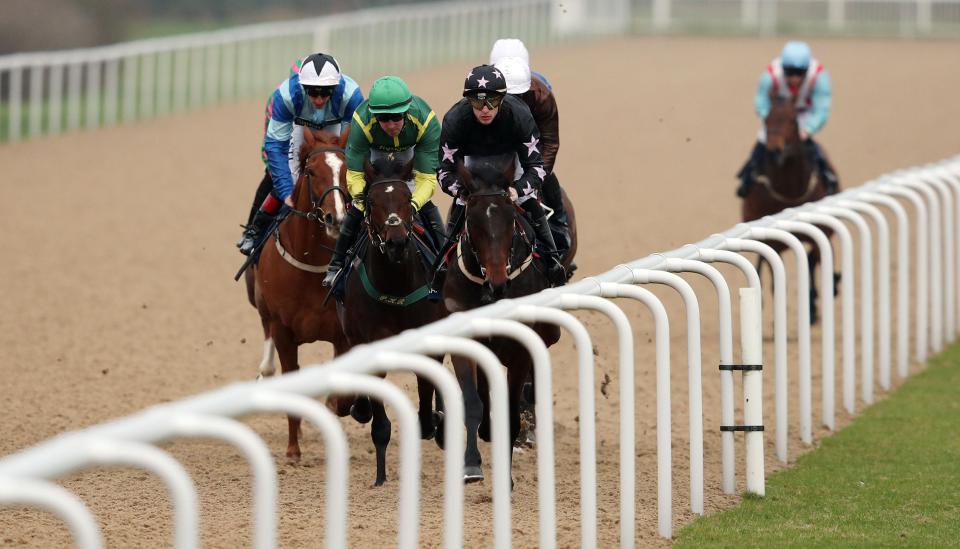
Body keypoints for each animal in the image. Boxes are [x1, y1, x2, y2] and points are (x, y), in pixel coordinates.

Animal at [244, 127, 352, 458]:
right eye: (311, 171)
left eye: (347, 169)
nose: (336, 218)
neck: (311, 262)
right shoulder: (282, 329)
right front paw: (293, 450)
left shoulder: (341, 334)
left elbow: (338, 391)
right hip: (259, 303)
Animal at [336, 154, 448, 484]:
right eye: (372, 201)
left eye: (407, 199)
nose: (397, 241)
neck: (395, 286)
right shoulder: (370, 344)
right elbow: (381, 424)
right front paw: (380, 477)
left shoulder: (428, 343)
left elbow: (426, 402)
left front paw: (434, 422)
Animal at [440, 154, 576, 480]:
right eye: (472, 221)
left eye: (510, 218)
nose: (498, 282)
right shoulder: (466, 340)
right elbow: (474, 401)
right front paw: (471, 464)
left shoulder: (520, 347)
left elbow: (513, 408)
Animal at [744, 94, 840, 322]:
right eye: (766, 119)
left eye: (793, 120)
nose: (774, 149)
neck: (790, 192)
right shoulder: (773, 242)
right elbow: (774, 279)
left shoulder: (818, 233)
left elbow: (813, 260)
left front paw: (813, 305)